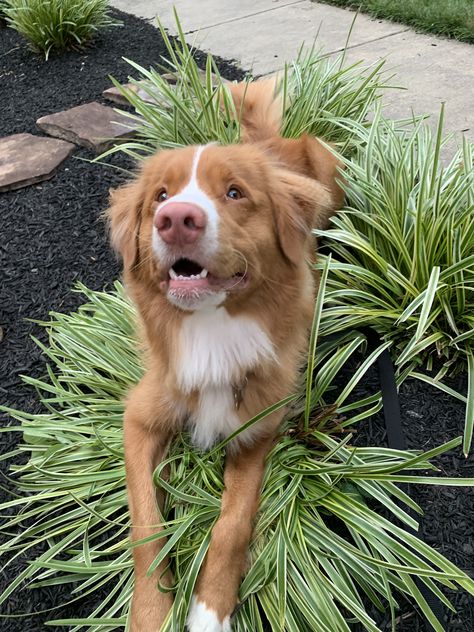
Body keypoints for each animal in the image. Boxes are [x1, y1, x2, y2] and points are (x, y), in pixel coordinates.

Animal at [108, 81, 344, 628]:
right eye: (161, 196)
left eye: (235, 193)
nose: (175, 219)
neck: (213, 327)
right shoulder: (140, 417)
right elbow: (145, 524)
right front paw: (151, 613)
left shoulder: (259, 427)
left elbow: (232, 522)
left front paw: (209, 610)